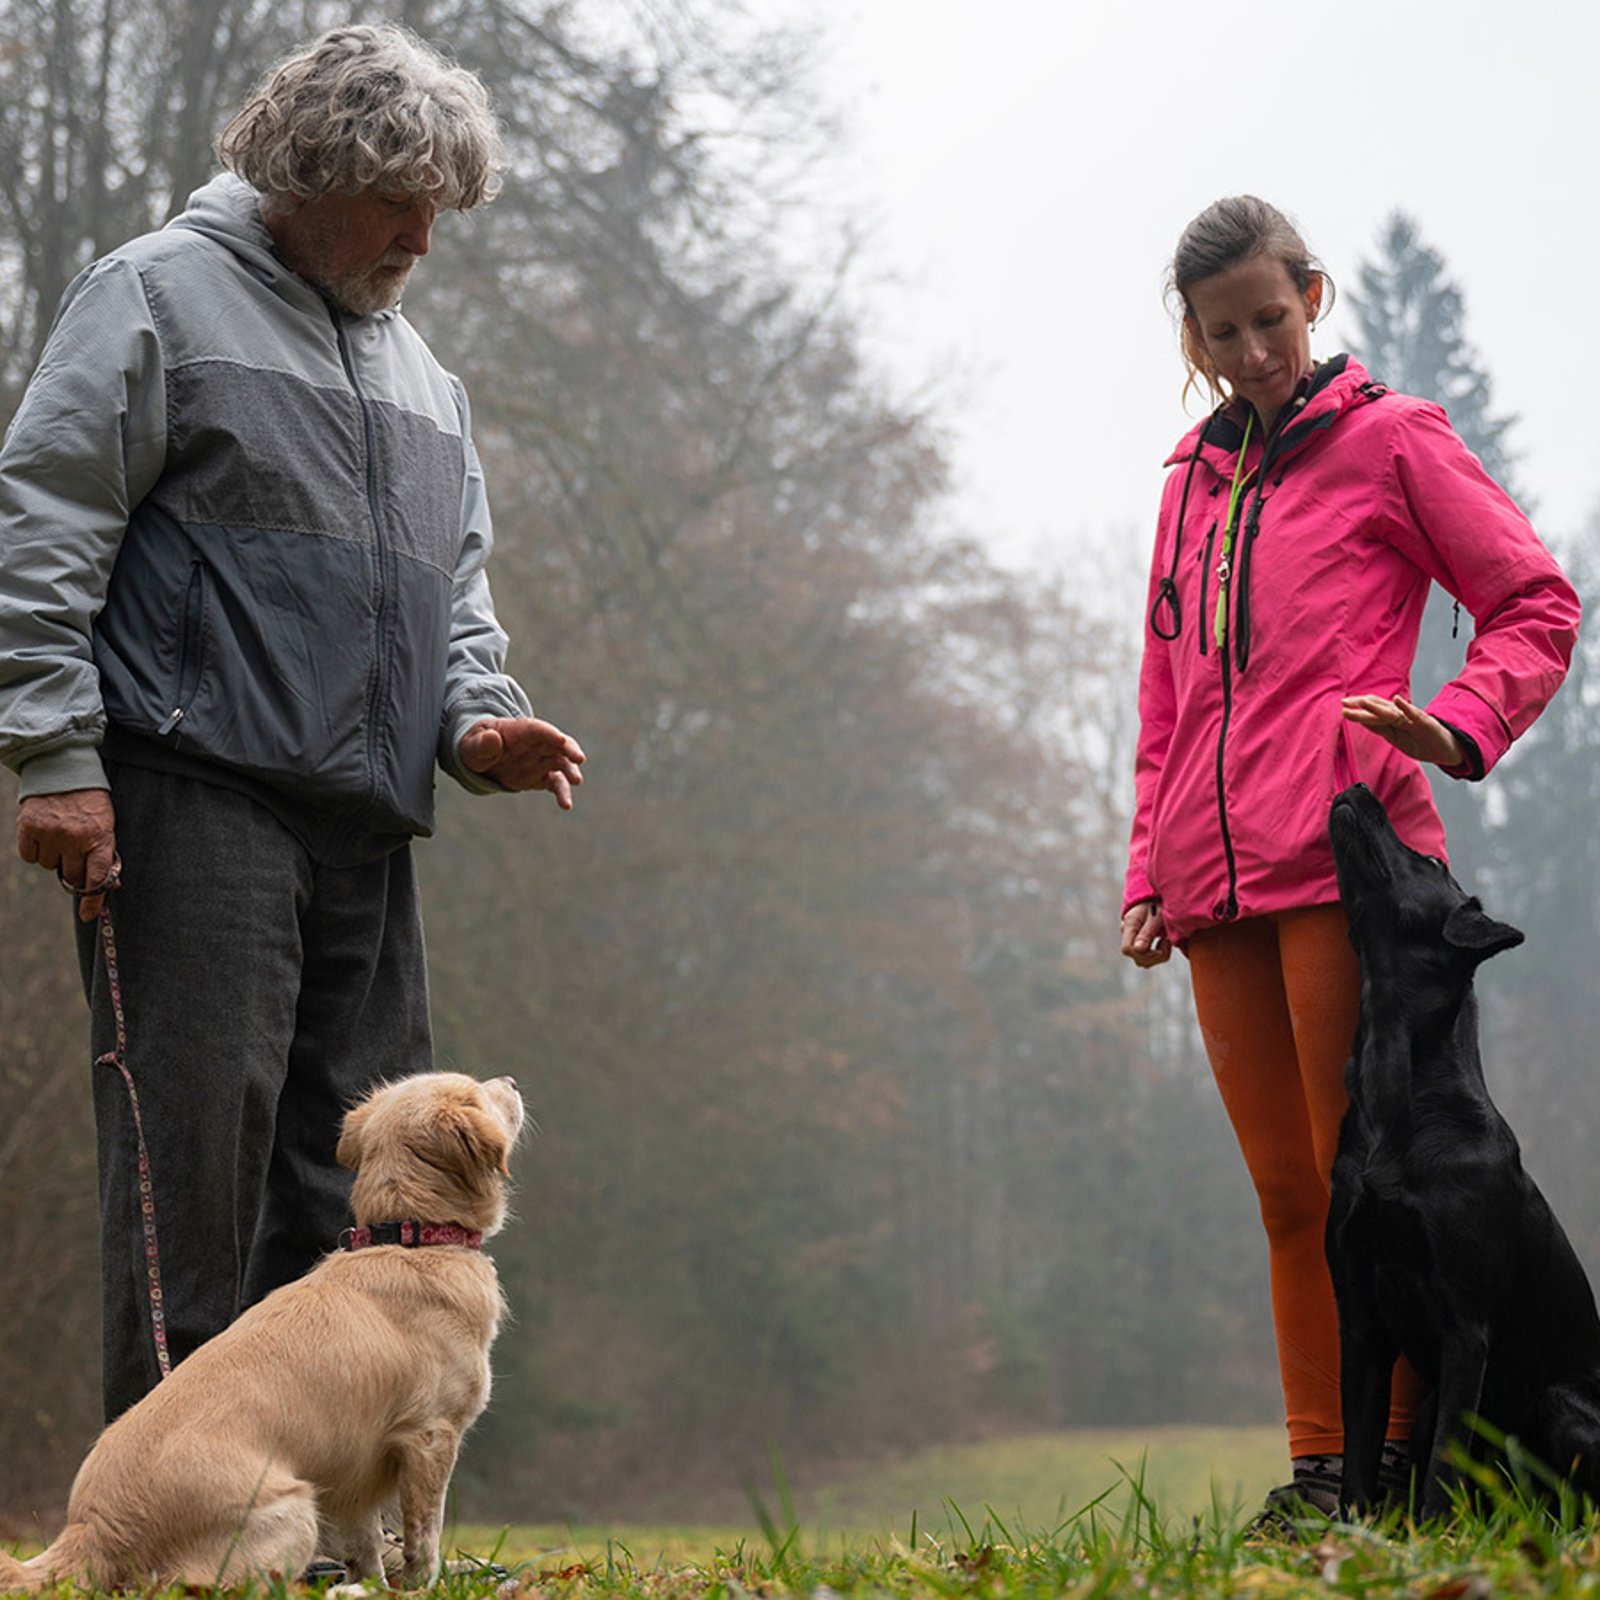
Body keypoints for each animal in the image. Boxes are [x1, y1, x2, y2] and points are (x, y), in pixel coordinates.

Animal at [0, 1075, 521, 1587]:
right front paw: (420, 1585)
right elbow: (425, 1541)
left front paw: (377, 1584)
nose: (513, 1081)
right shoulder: (431, 1436)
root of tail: (93, 1530)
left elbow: (367, 1546)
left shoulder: (354, 1467)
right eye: (477, 1093)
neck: (409, 1238)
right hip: (293, 1510)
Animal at [1331, 780, 1600, 1516]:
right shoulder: (1359, 1317)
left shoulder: (1465, 1327)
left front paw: (1431, 1534)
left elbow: (1446, 1466)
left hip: (1561, 1404)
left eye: (1428, 860)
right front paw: (1354, 1532)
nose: (1358, 785)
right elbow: (1358, 1453)